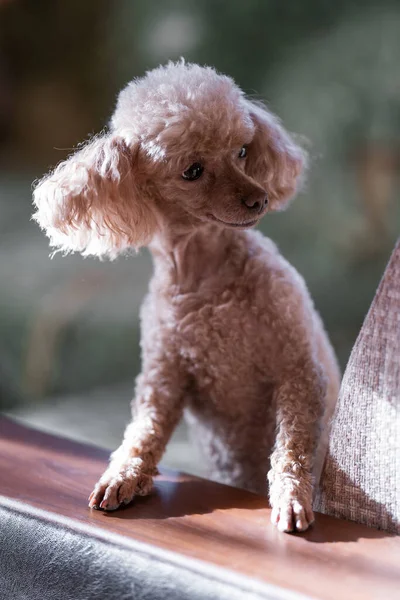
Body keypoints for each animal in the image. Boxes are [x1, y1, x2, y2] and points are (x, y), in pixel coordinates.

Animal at [33, 59, 340, 528]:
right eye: (192, 171)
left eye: (242, 151)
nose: (259, 199)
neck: (205, 280)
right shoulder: (163, 380)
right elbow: (143, 432)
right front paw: (122, 476)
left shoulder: (298, 369)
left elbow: (293, 446)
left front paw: (291, 497)